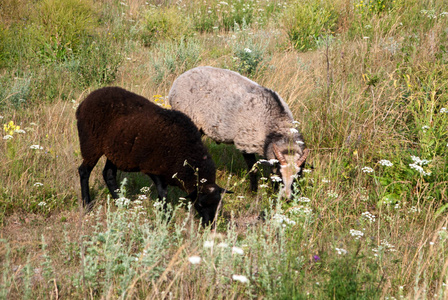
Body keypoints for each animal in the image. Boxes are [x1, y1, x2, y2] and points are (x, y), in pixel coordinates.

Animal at [76, 86, 228, 225]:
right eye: (200, 204)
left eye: (218, 204)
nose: (210, 224)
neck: (186, 150)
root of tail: (85, 101)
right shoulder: (154, 168)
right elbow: (163, 194)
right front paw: (165, 219)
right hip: (91, 143)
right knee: (84, 171)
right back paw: (87, 205)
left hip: (115, 151)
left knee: (108, 173)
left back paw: (121, 203)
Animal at [168, 66, 308, 198]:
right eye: (279, 173)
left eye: (298, 175)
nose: (286, 198)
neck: (275, 126)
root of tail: (181, 78)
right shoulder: (245, 143)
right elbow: (253, 168)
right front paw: (253, 192)